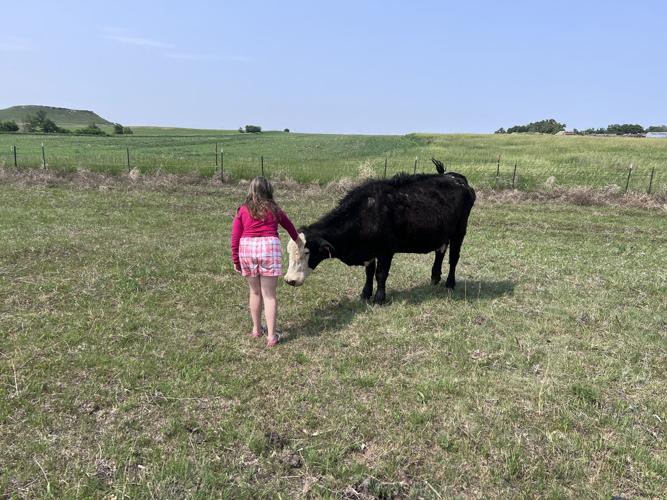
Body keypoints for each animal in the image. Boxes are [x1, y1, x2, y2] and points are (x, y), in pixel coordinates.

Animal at [284, 159, 476, 304]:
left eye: (307, 252)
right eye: (289, 252)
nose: (289, 280)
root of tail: (454, 177)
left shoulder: (386, 250)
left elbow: (381, 274)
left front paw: (379, 298)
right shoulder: (370, 251)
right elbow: (369, 273)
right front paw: (365, 294)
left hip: (460, 231)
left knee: (453, 258)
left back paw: (450, 284)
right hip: (443, 233)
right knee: (440, 252)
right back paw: (435, 278)